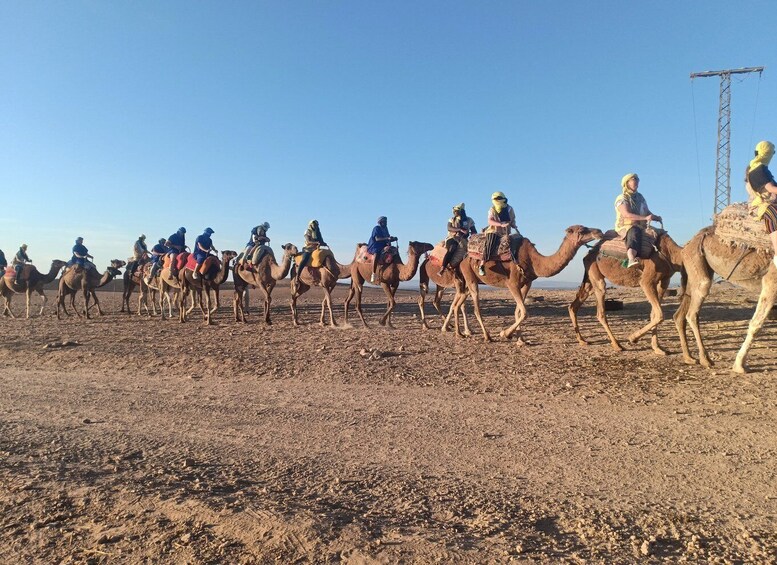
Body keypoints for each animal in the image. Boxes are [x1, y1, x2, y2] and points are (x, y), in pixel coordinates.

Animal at [452, 226, 604, 344]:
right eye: (582, 230)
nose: (599, 231)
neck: (533, 261)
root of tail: (463, 259)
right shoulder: (512, 283)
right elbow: (524, 312)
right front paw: (505, 333)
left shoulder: (526, 284)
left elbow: (518, 311)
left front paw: (521, 340)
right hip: (470, 276)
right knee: (476, 308)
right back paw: (487, 336)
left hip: (469, 283)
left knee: (458, 303)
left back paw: (460, 333)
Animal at [668, 225, 772, 374]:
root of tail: (687, 244)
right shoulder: (771, 279)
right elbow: (756, 324)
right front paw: (739, 365)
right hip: (697, 262)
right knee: (692, 313)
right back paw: (705, 359)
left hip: (695, 270)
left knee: (680, 314)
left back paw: (689, 358)